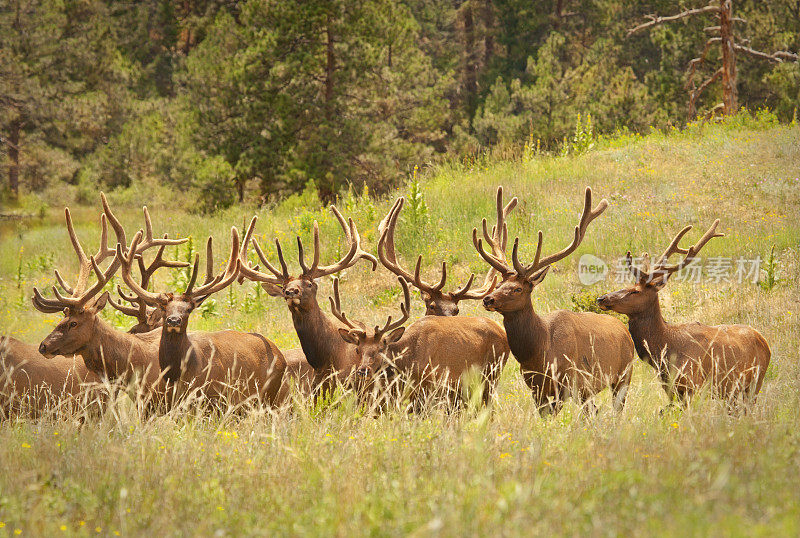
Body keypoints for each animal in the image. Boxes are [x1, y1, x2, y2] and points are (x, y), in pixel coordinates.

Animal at [330, 274, 506, 404]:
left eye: (381, 348)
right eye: (357, 349)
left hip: (492, 373)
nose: (363, 370)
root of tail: (501, 330)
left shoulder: (430, 386)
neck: (408, 361)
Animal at [472, 186, 636, 412]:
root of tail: (624, 329)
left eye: (517, 289)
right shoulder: (536, 389)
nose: (488, 299)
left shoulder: (575, 383)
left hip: (623, 375)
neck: (540, 353)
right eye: (498, 285)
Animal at [596, 217, 772, 402]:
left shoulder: (694, 383)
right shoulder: (670, 388)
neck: (665, 351)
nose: (602, 298)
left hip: (755, 384)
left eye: (635, 291)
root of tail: (765, 342)